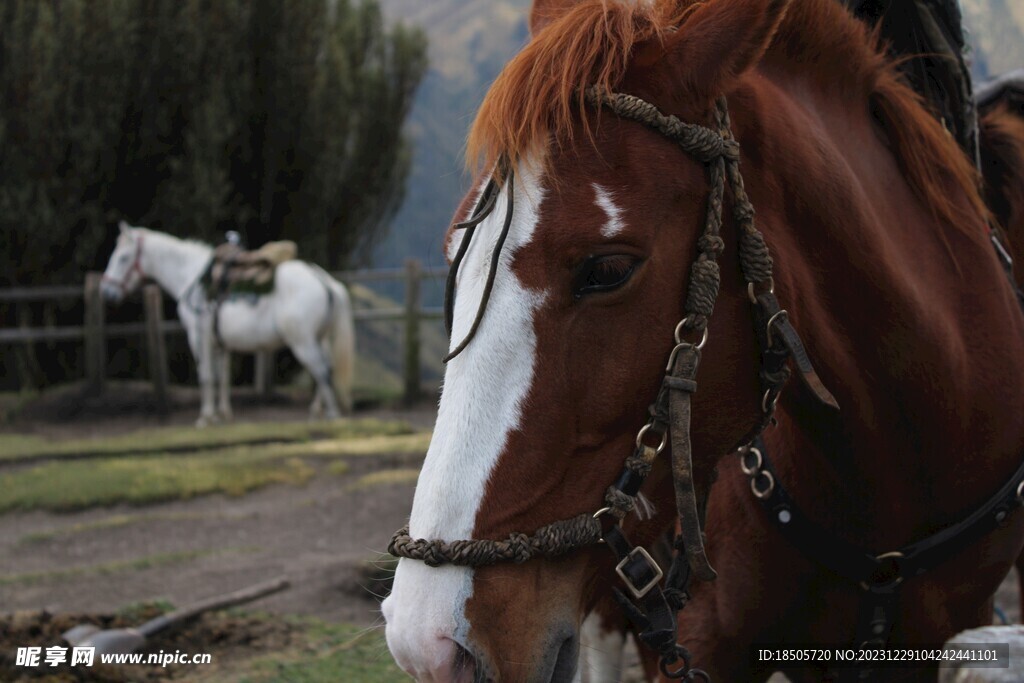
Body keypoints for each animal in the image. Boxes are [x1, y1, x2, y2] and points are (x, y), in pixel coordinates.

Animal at [100, 223, 356, 428]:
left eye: (123, 257)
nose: (107, 292)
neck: (191, 278)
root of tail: (325, 280)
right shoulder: (220, 343)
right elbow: (221, 376)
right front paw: (222, 415)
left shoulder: (199, 335)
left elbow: (206, 375)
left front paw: (205, 417)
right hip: (318, 338)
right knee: (326, 367)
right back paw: (317, 411)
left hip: (301, 341)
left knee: (322, 370)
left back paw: (332, 414)